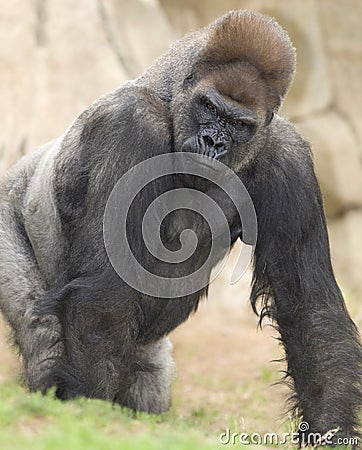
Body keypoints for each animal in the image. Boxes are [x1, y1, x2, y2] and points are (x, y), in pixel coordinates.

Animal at [0, 10, 362, 446]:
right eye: (208, 107)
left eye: (238, 124)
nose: (211, 141)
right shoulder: (131, 124)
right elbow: (102, 298)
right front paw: (92, 410)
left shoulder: (288, 158)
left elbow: (310, 310)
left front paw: (331, 429)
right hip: (9, 215)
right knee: (42, 328)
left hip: (145, 349)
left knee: (146, 376)